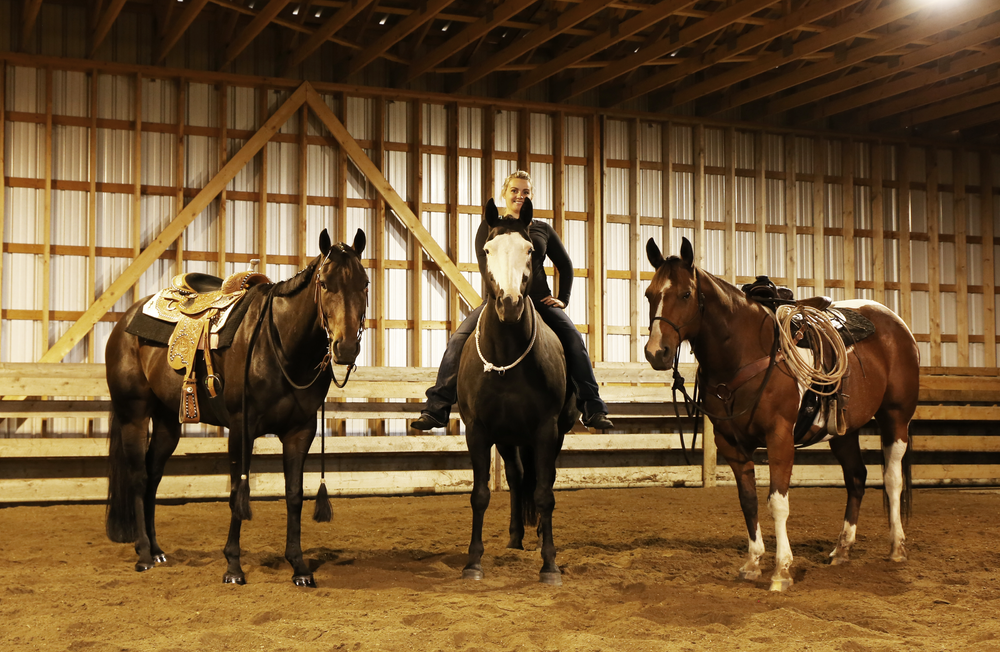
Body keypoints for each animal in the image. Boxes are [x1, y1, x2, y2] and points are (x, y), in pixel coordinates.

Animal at [104, 229, 368, 587]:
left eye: (364, 283)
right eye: (325, 284)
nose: (346, 347)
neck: (281, 345)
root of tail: (124, 322)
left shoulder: (300, 430)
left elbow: (294, 494)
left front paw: (299, 566)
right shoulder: (241, 428)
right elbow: (236, 493)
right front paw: (233, 567)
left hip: (167, 421)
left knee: (154, 475)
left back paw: (158, 551)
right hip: (133, 414)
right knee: (138, 476)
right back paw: (144, 554)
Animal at [456, 197, 578, 586]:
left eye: (530, 250)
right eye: (487, 249)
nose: (509, 304)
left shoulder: (545, 429)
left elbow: (544, 495)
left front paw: (550, 564)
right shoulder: (478, 430)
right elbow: (480, 495)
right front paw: (473, 562)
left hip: (548, 434)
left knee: (541, 480)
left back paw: (536, 537)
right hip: (508, 439)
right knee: (516, 477)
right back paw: (514, 537)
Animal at [644, 237, 920, 591]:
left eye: (686, 294)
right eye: (650, 294)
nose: (657, 352)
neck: (745, 351)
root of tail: (897, 326)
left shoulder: (779, 438)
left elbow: (777, 502)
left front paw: (781, 571)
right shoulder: (731, 443)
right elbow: (748, 501)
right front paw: (752, 564)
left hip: (896, 418)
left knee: (892, 479)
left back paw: (897, 547)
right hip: (843, 431)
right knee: (856, 478)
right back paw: (842, 550)